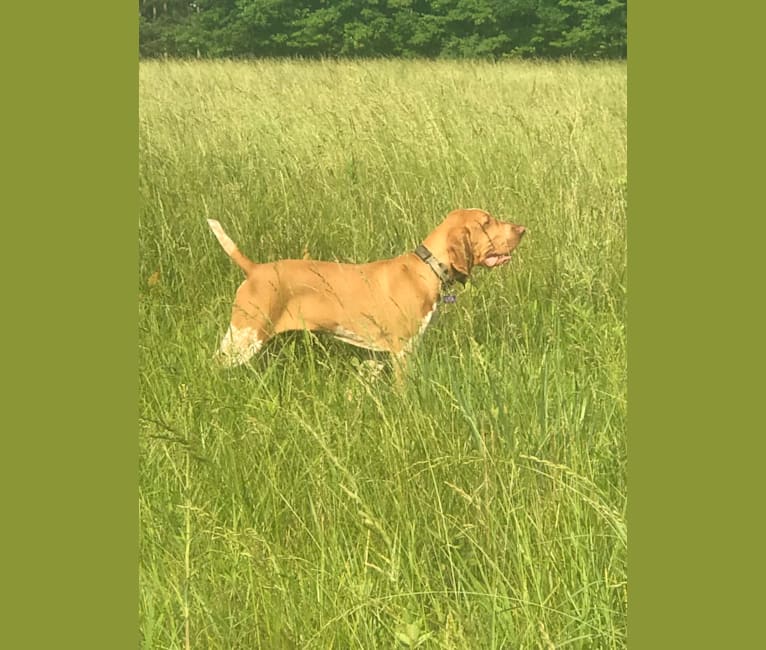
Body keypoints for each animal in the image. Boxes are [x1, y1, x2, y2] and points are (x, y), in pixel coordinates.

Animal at [207, 208, 524, 370]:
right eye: (487, 222)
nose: (522, 229)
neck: (426, 269)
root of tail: (254, 269)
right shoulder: (403, 350)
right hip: (243, 338)